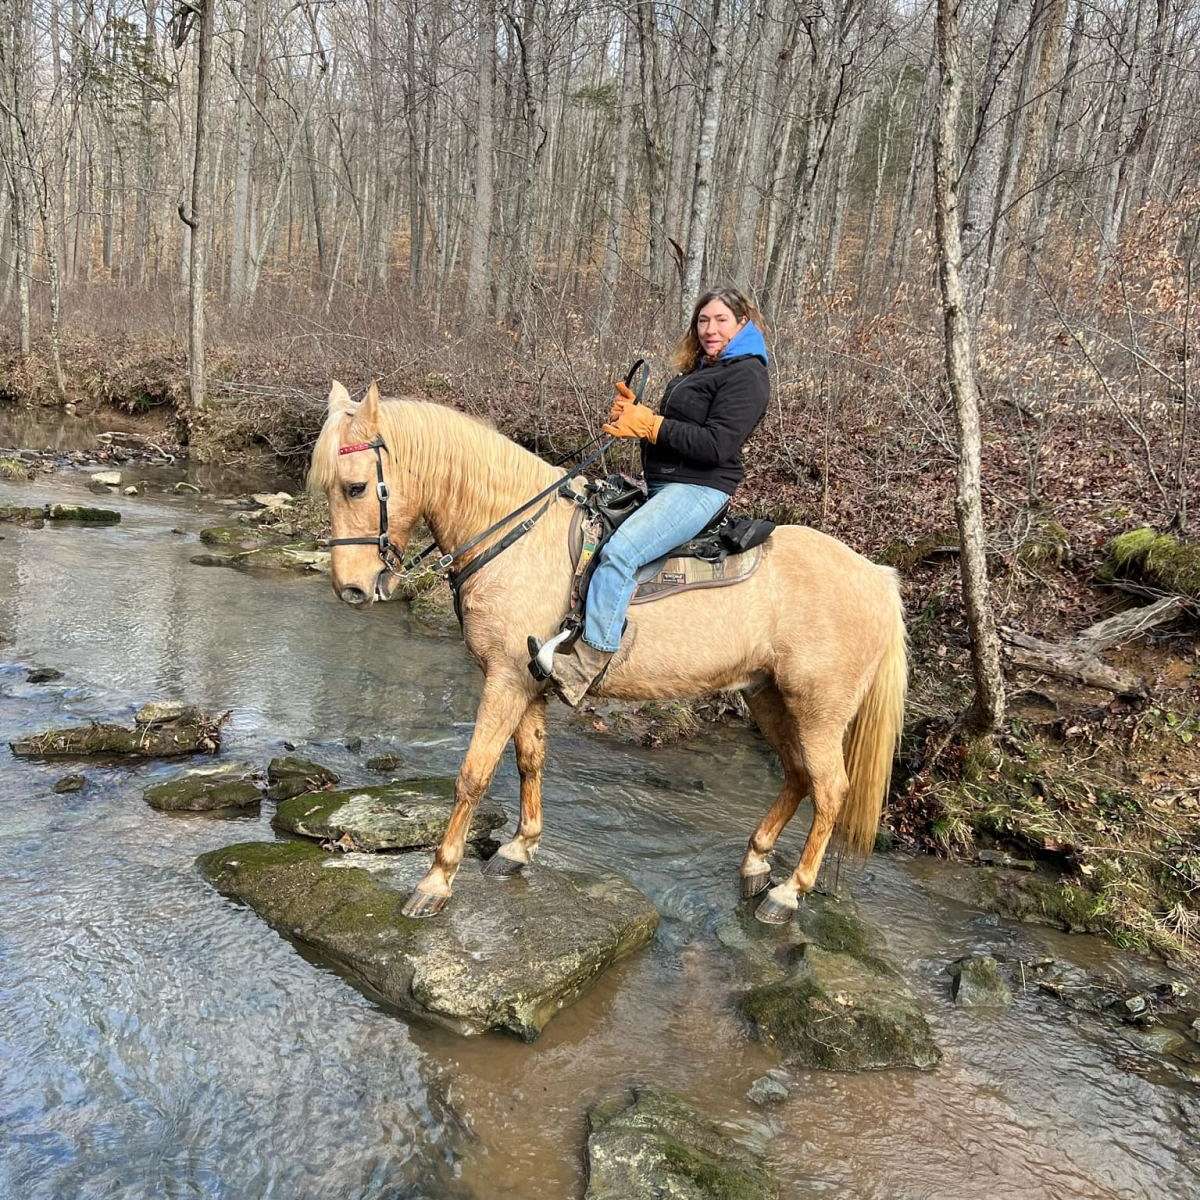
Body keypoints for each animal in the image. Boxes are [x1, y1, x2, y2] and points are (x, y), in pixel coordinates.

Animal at [304, 379, 902, 921]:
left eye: (356, 487)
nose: (351, 589)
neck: (518, 536)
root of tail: (877, 577)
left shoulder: (504, 679)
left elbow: (473, 774)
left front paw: (435, 882)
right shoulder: (527, 682)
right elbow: (529, 759)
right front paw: (520, 848)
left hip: (818, 709)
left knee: (830, 789)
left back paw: (788, 892)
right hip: (768, 695)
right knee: (798, 775)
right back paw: (756, 863)